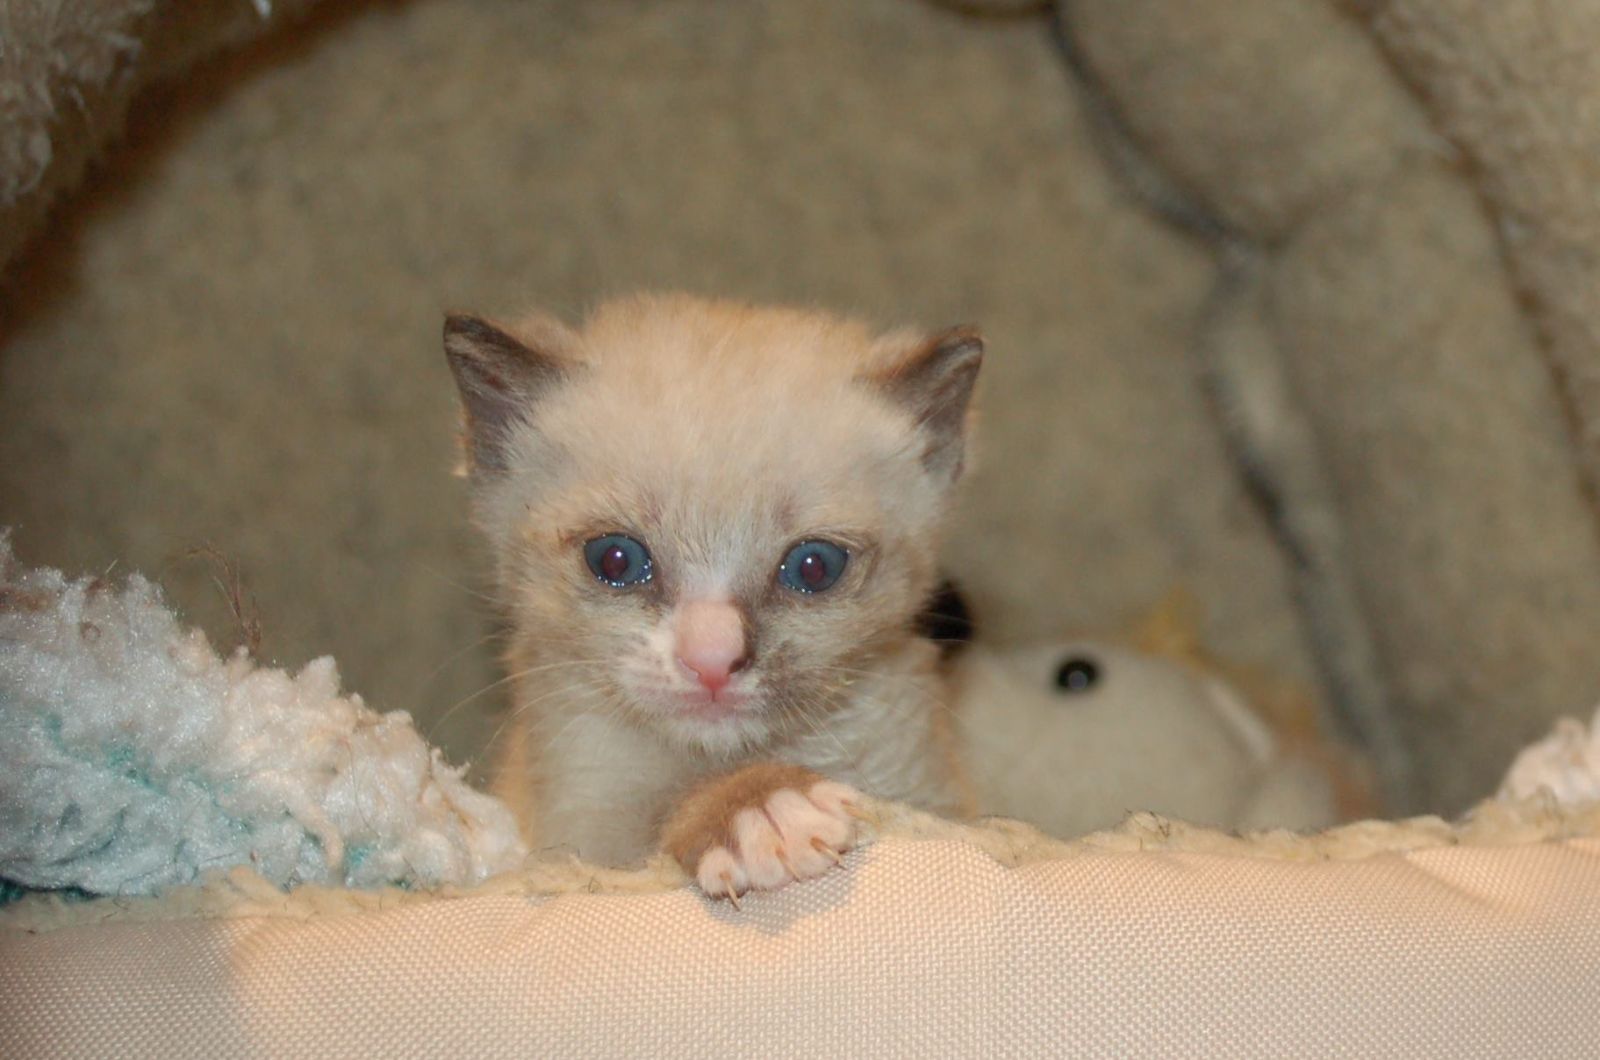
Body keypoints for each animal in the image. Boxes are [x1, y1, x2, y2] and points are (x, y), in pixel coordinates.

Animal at [444, 293, 979, 903]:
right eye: (615, 561)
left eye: (814, 567)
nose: (713, 662)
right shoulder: (580, 834)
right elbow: (661, 808)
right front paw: (763, 810)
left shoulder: (928, 796)